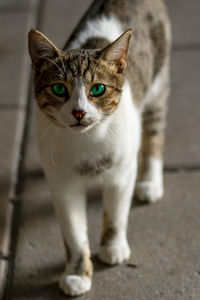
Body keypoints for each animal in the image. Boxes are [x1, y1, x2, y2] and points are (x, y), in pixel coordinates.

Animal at [28, 0, 171, 296]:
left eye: (98, 89)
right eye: (59, 89)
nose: (79, 112)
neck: (87, 141)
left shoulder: (122, 172)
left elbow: (115, 213)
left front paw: (113, 247)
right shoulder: (62, 184)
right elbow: (73, 232)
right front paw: (77, 273)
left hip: (158, 83)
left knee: (155, 131)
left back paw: (150, 183)